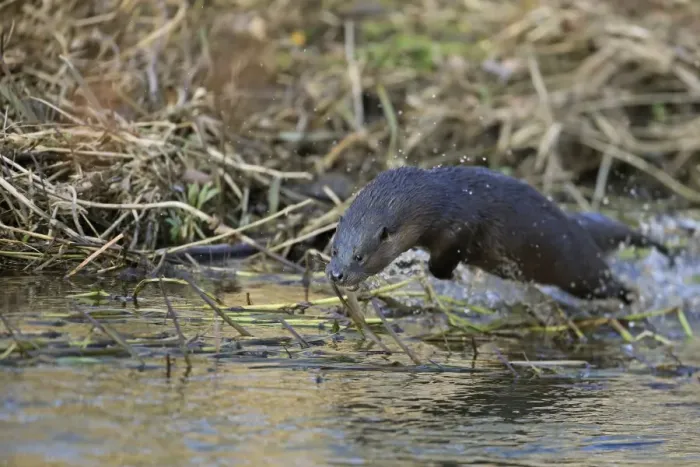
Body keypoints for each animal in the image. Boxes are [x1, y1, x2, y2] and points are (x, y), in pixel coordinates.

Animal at [325, 165, 634, 303]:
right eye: (334, 249)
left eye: (359, 256)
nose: (337, 274)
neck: (442, 200)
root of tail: (578, 226)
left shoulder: (461, 226)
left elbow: (441, 264)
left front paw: (449, 275)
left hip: (582, 273)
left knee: (607, 283)